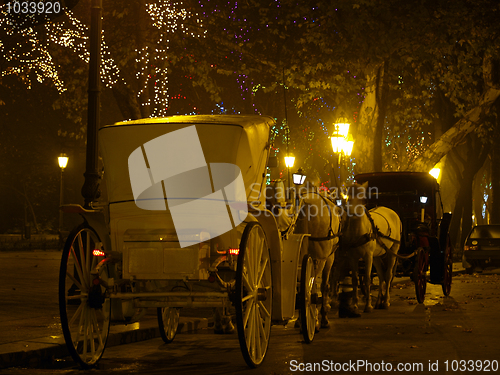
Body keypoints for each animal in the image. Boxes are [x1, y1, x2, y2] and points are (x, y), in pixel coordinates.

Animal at [292, 175, 344, 328]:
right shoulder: (329, 258)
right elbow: (324, 285)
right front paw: (323, 317)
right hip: (321, 257)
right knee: (313, 282)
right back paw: (316, 320)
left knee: (301, 284)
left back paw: (301, 319)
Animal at [340, 181, 402, 312]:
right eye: (347, 196)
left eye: (362, 198)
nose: (350, 211)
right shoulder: (352, 257)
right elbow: (355, 279)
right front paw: (354, 304)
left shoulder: (368, 256)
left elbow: (367, 279)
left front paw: (368, 305)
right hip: (377, 256)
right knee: (381, 276)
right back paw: (379, 301)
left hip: (393, 250)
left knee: (388, 275)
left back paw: (386, 301)